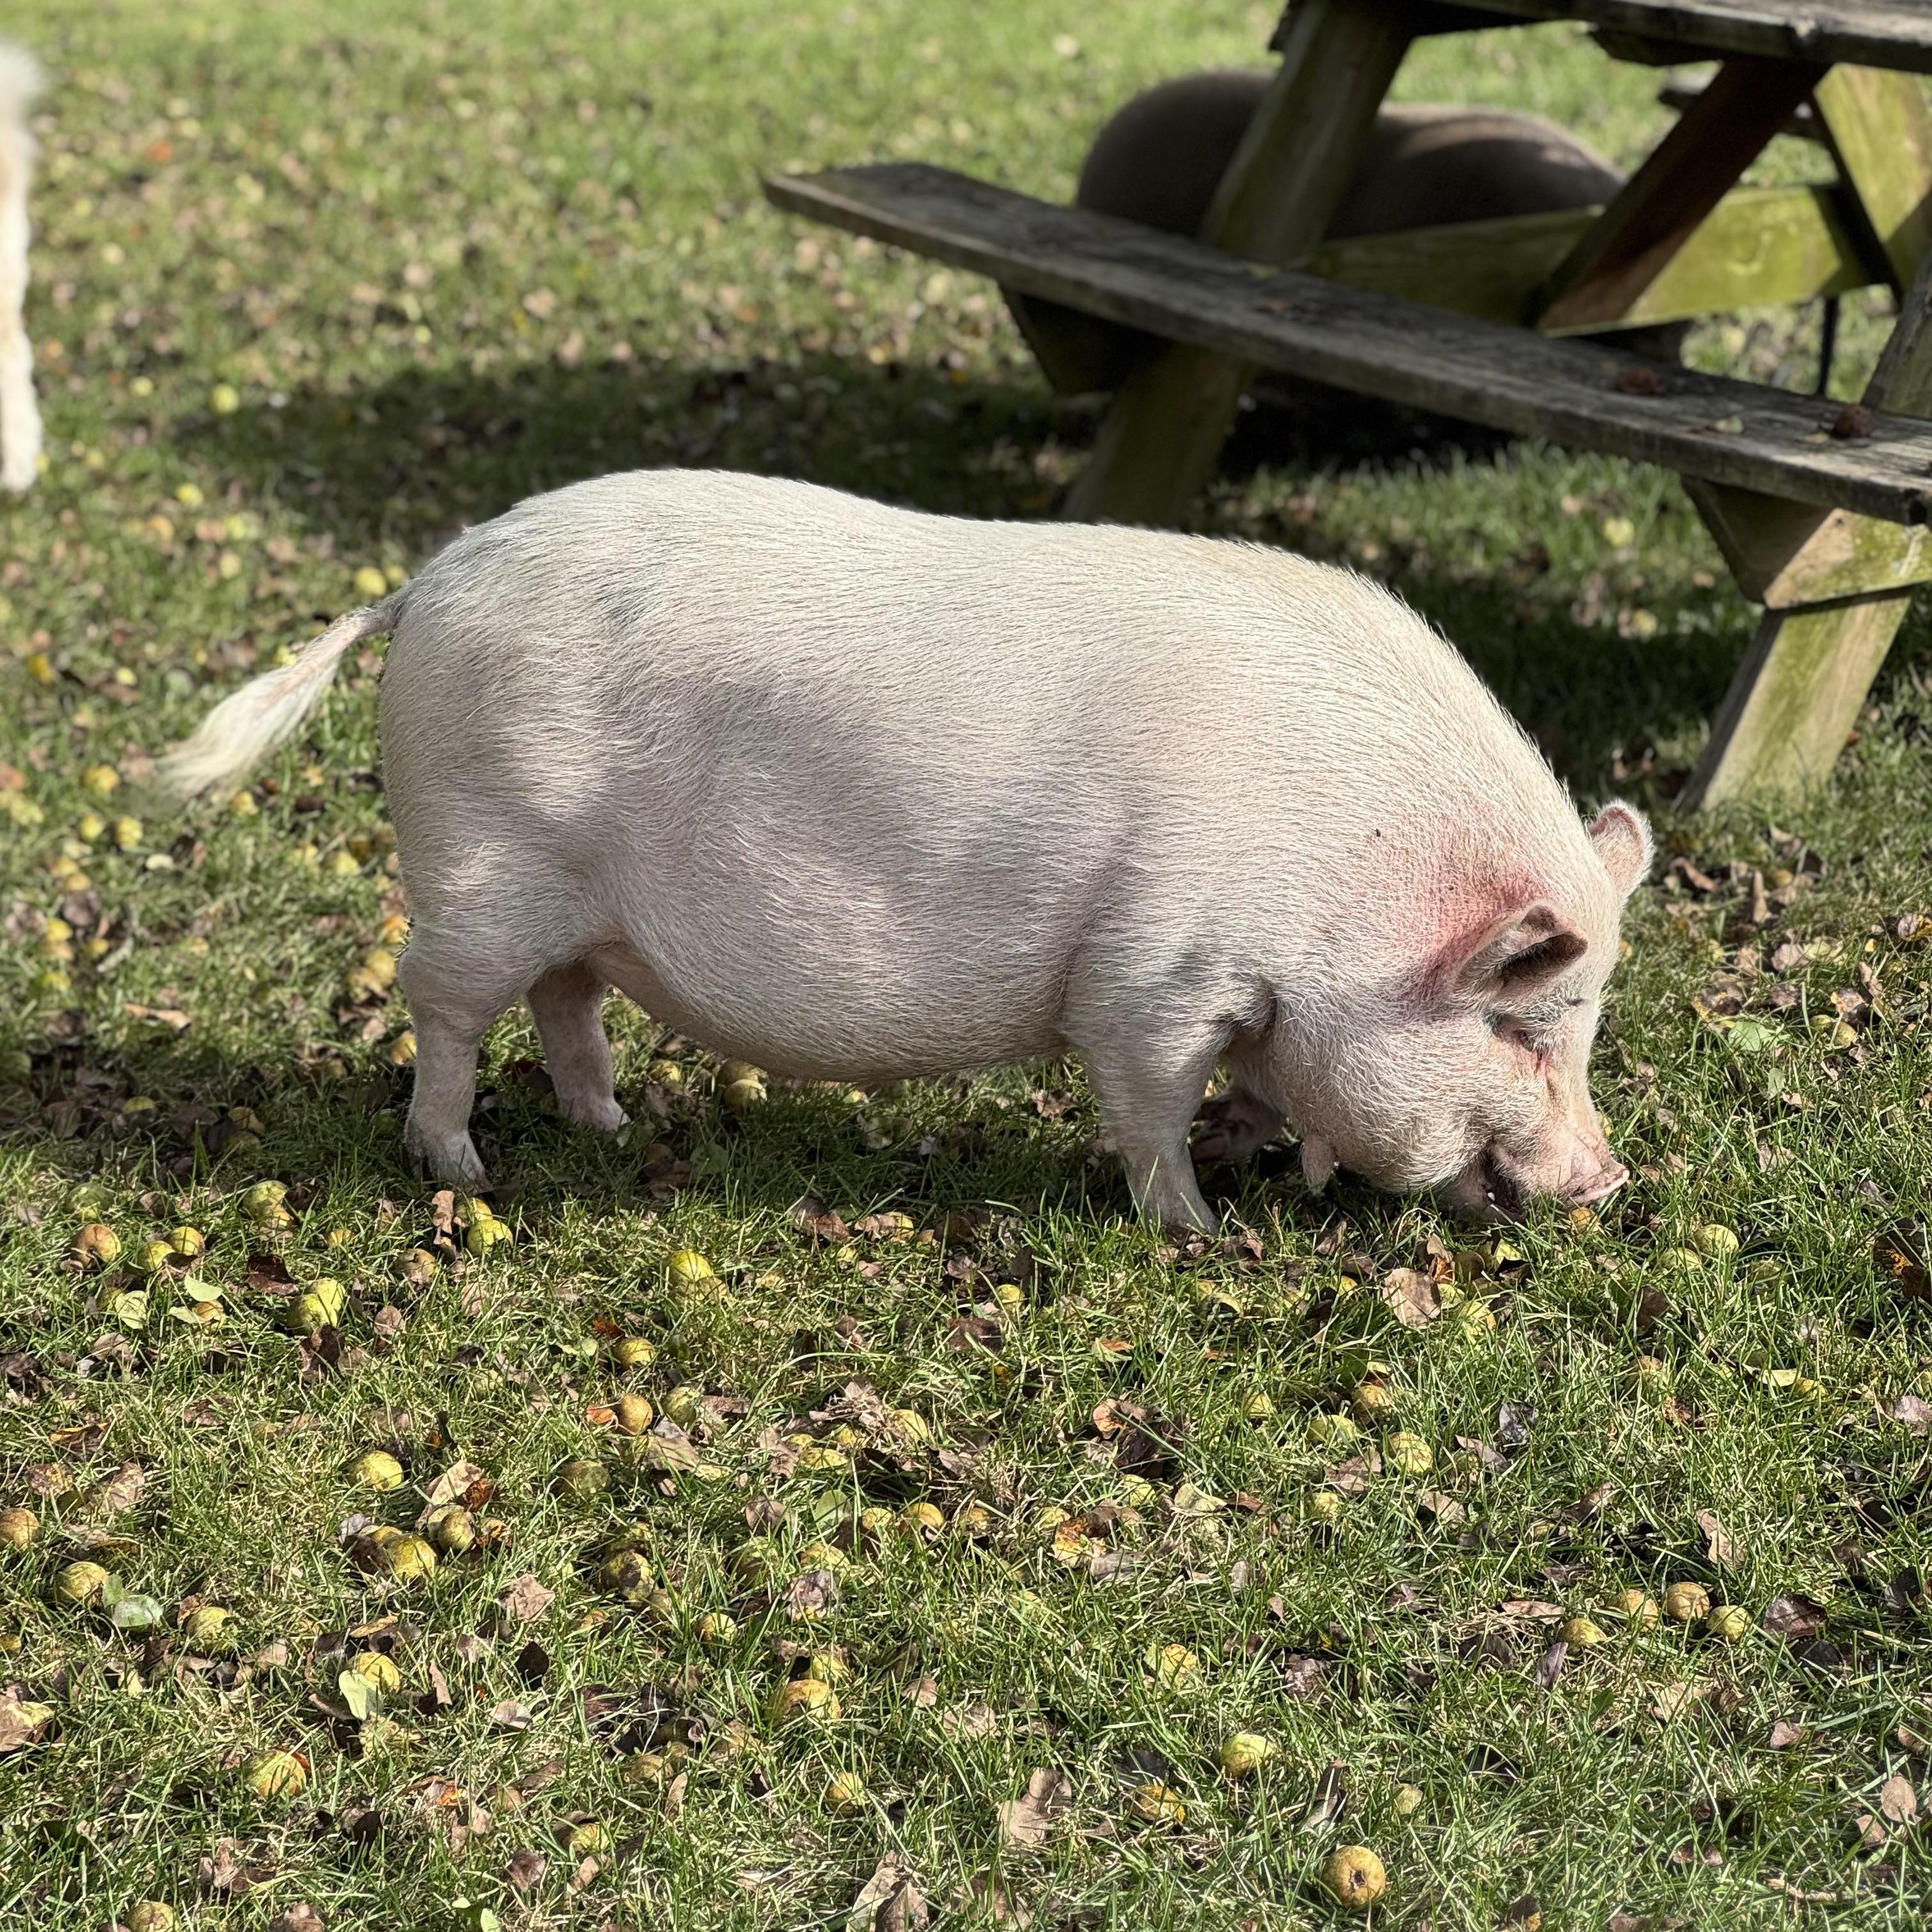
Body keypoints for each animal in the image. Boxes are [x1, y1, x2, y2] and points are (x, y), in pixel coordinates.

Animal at [161, 469, 1650, 1229]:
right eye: (1526, 1024)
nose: (1608, 1177)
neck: (1350, 882)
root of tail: (432, 577)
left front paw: (1261, 1161)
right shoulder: (1152, 977)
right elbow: (1151, 1105)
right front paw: (1191, 1229)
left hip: (571, 904)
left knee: (567, 1001)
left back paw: (613, 1126)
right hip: (481, 863)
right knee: (447, 1009)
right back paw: (464, 1171)